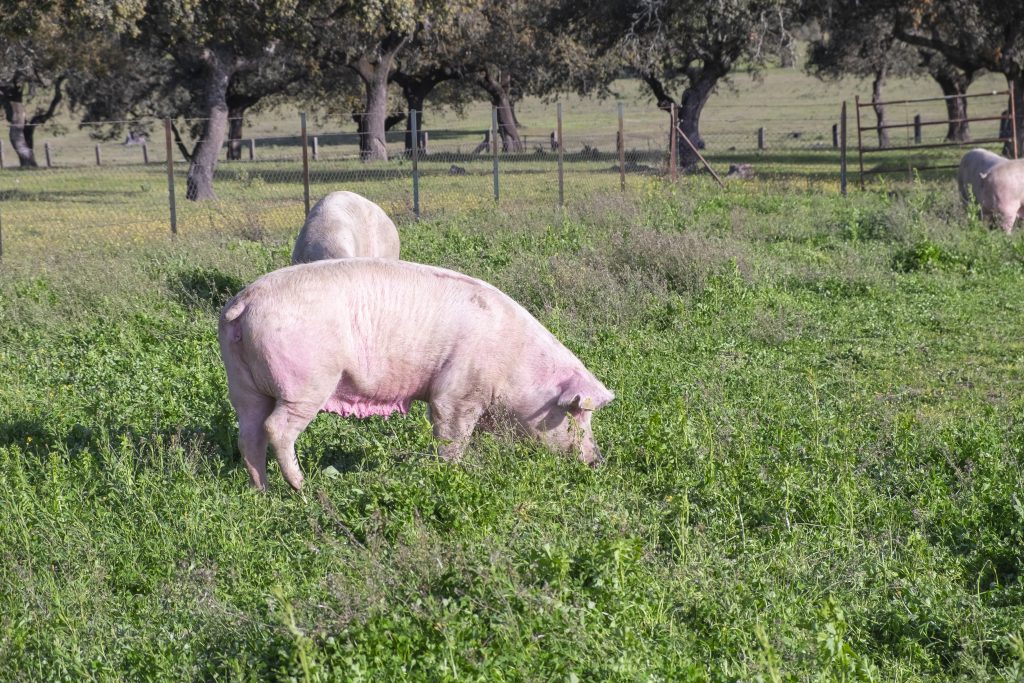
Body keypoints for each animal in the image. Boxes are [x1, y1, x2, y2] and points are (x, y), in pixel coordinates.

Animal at [217, 259, 610, 489]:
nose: (597, 462)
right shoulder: (457, 392)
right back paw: (304, 488)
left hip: (241, 382)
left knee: (249, 433)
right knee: (276, 429)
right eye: (576, 413)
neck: (514, 361)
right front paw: (451, 474)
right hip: (305, 383)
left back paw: (262, 490)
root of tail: (245, 302)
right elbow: (451, 435)